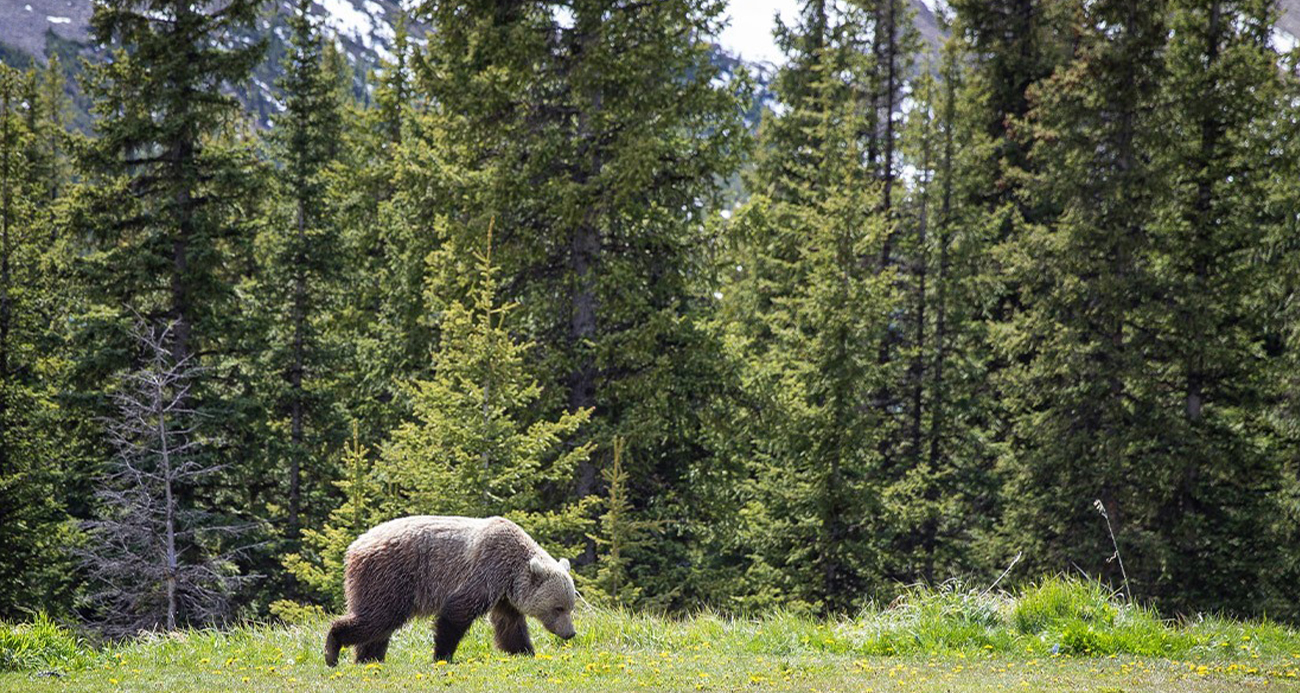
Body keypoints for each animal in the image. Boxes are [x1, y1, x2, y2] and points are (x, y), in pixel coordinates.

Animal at [322, 512, 577, 665]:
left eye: (570, 607)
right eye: (558, 608)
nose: (570, 633)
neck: (511, 571)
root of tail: (354, 546)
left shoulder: (504, 594)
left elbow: (510, 625)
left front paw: (525, 651)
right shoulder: (485, 570)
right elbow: (456, 613)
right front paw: (442, 655)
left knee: (379, 626)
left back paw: (369, 658)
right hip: (389, 577)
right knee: (378, 617)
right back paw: (333, 649)